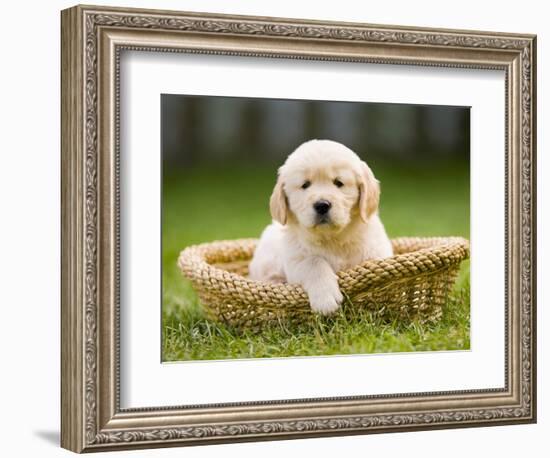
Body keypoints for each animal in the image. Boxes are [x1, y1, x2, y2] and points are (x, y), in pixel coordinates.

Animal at [250, 140, 392, 314]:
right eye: (305, 185)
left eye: (339, 183)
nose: (322, 205)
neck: (332, 238)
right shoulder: (295, 259)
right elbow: (313, 262)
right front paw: (326, 299)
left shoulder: (377, 251)